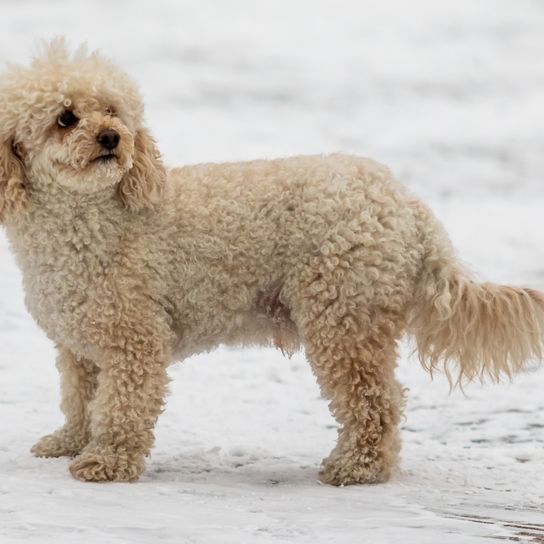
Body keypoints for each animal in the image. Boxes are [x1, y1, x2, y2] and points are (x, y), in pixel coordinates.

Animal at [1, 41, 544, 484]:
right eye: (66, 117)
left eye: (112, 110)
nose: (113, 137)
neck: (92, 220)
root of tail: (409, 207)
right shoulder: (79, 345)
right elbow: (80, 399)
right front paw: (70, 442)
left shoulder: (134, 342)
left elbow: (120, 409)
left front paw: (106, 462)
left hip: (342, 318)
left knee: (377, 403)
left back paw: (358, 467)